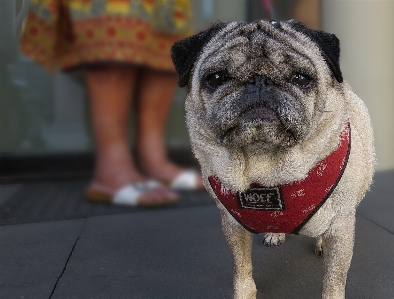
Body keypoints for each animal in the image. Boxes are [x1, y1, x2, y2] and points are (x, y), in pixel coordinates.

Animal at [171, 19, 374, 298]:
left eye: (300, 78)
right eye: (216, 78)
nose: (259, 80)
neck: (266, 166)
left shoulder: (341, 227)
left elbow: (333, 280)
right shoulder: (233, 226)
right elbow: (242, 269)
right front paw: (244, 293)